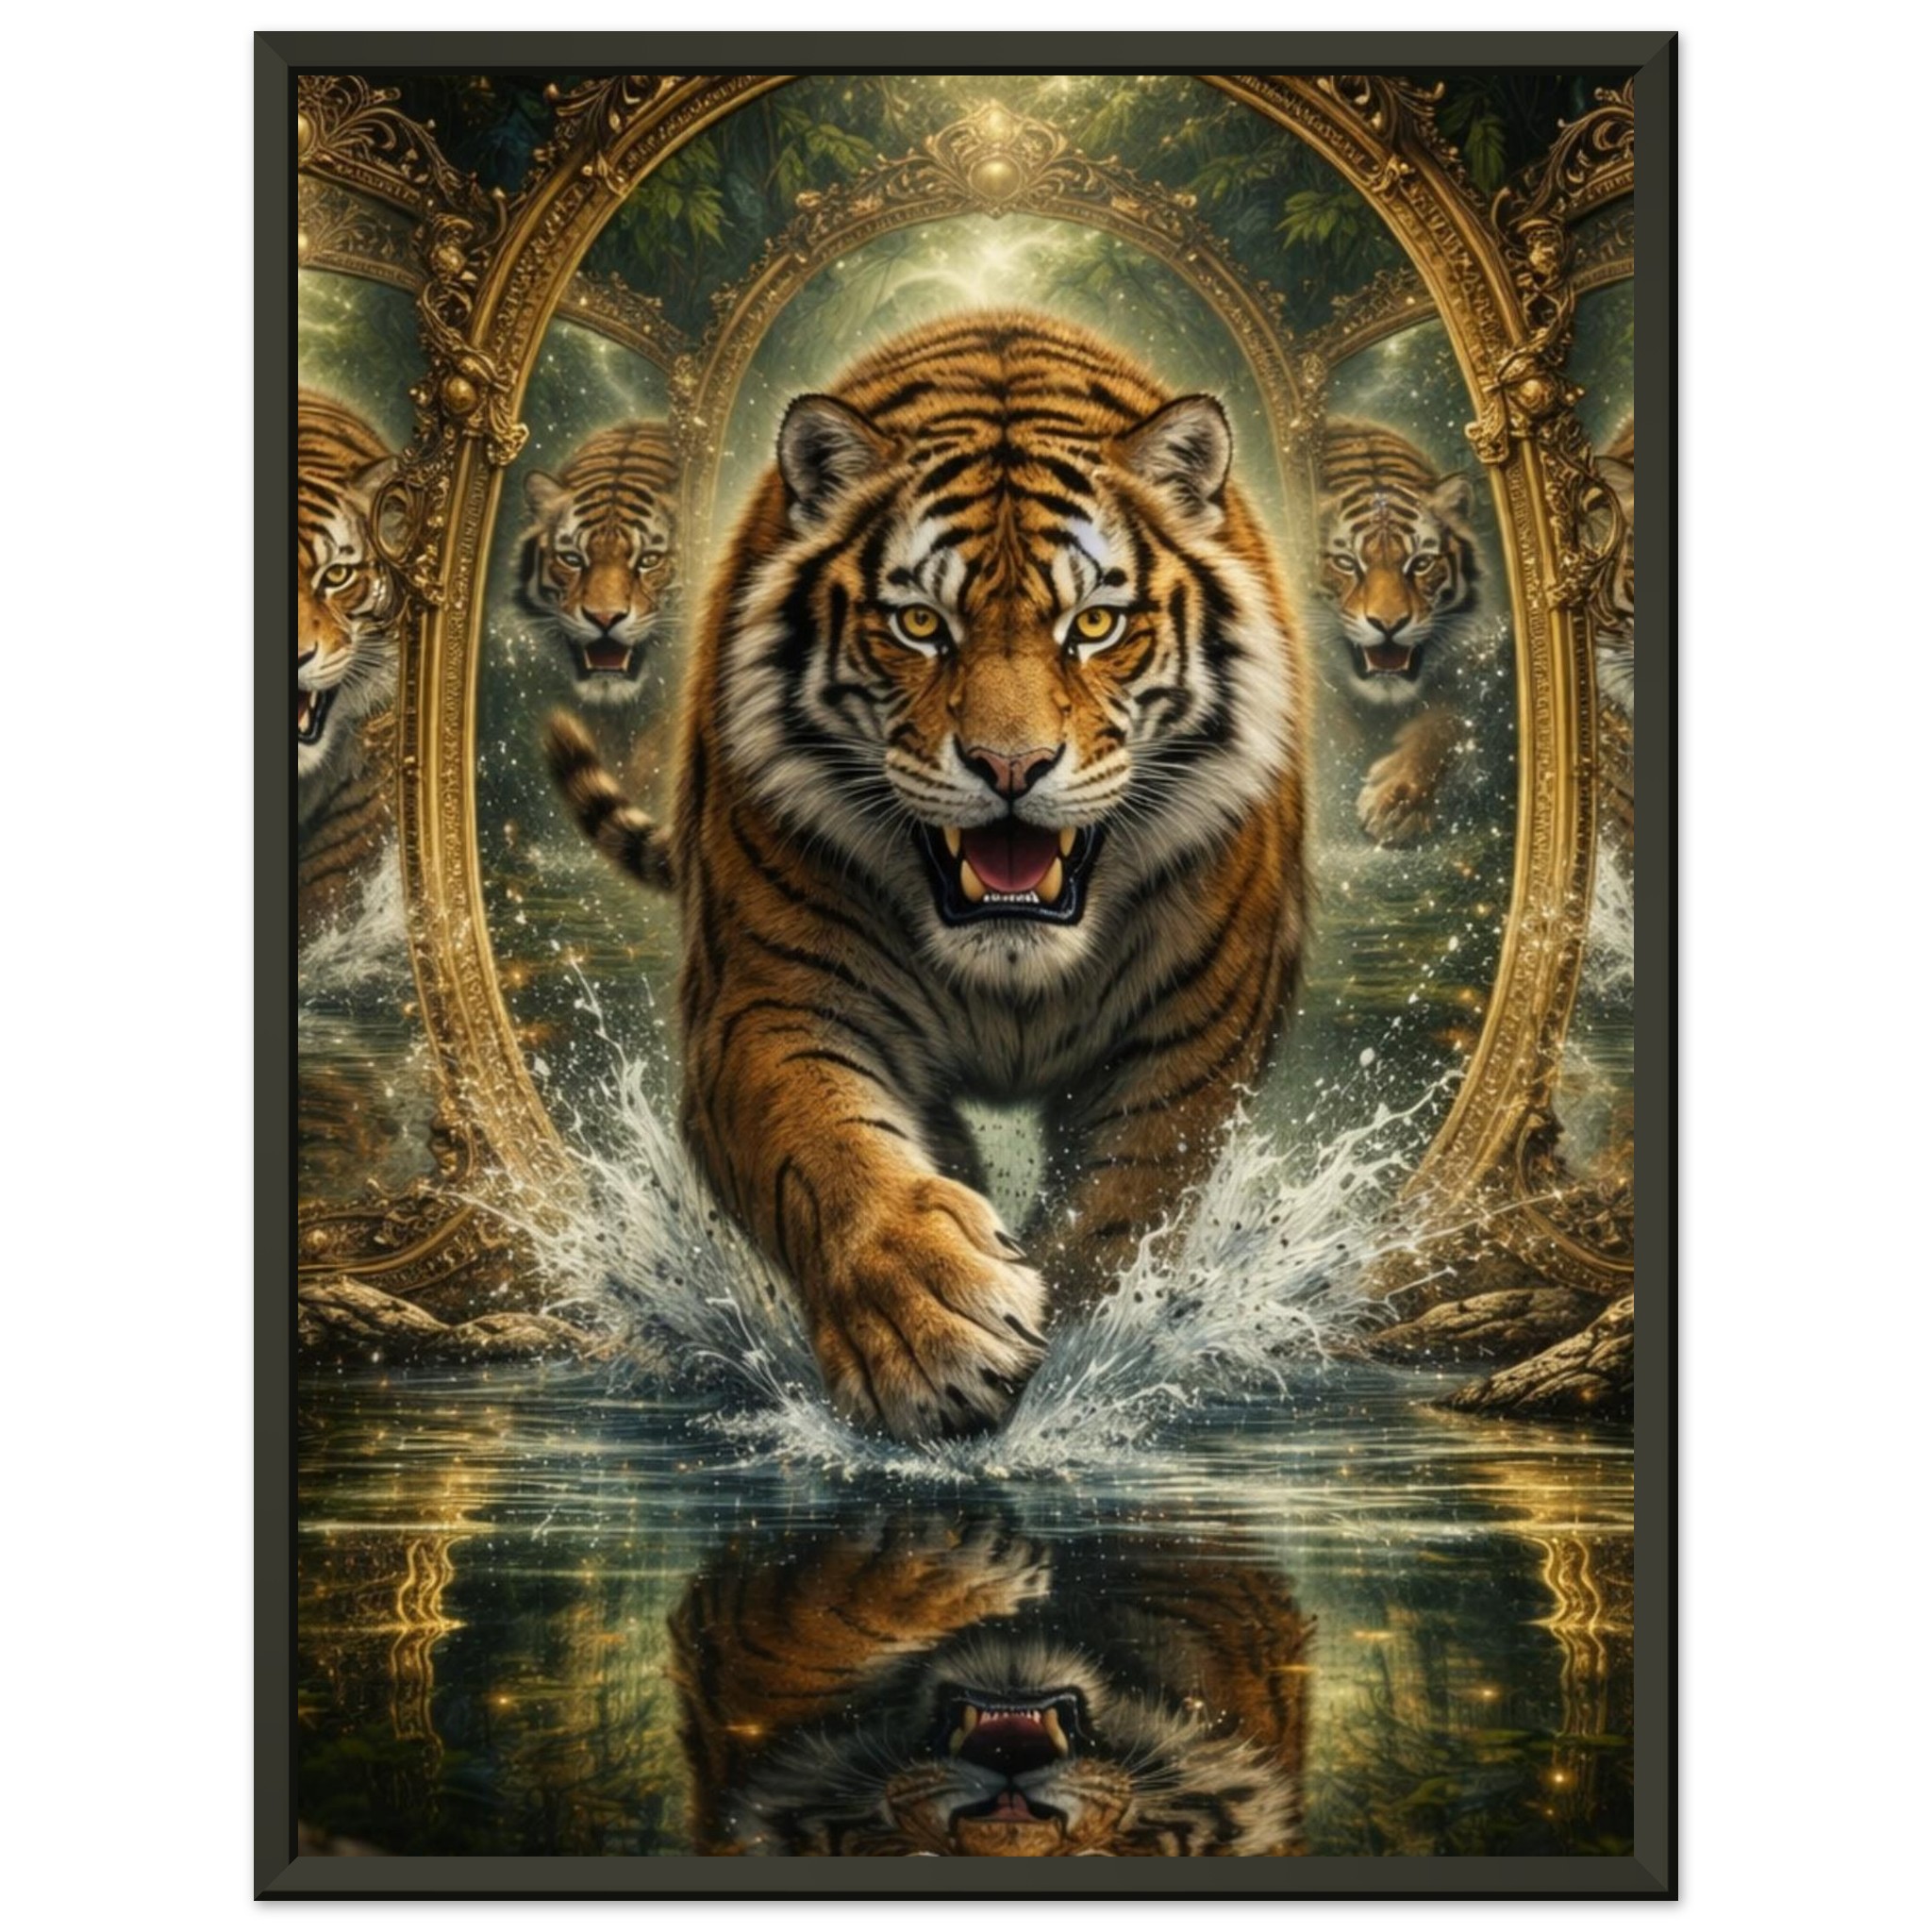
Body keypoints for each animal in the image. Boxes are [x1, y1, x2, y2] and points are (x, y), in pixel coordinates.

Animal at [549, 310, 1308, 1443]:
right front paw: (930, 1327)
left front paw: (1080, 1357)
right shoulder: (765, 1007)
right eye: (920, 626)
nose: (1009, 767)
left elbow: (1121, 1208)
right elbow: (828, 1149)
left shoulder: (1190, 1044)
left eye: (1093, 626)